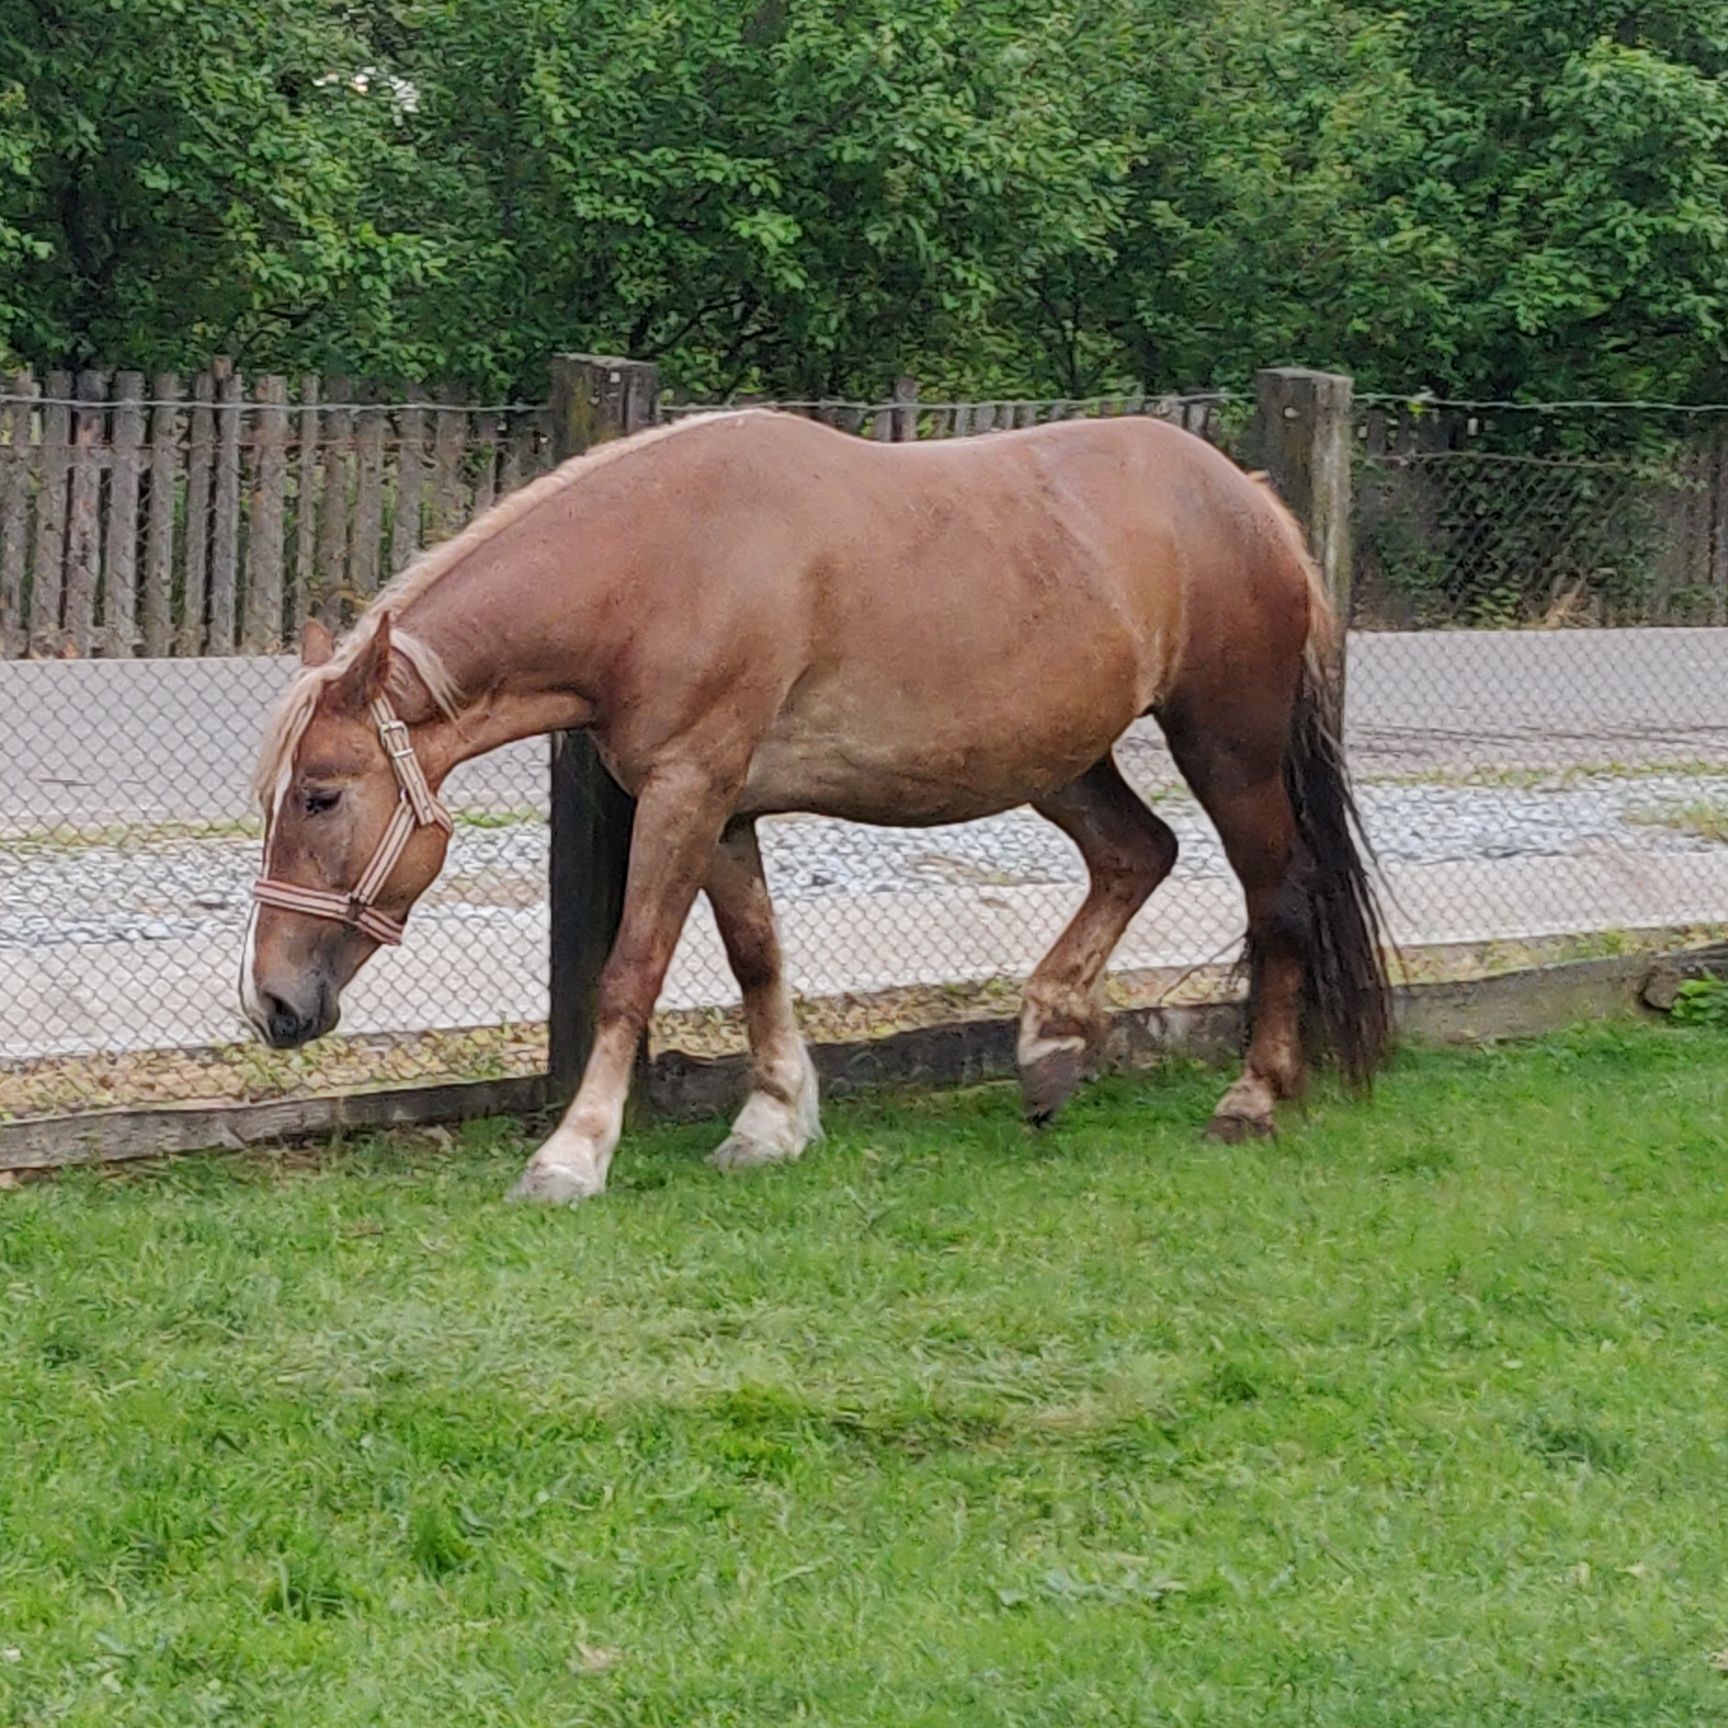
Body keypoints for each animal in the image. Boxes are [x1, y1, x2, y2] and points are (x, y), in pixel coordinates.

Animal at [243, 411, 1389, 1209]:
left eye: (322, 795)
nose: (273, 1004)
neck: (659, 565)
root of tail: (1253, 501)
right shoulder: (722, 808)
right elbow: (757, 956)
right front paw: (775, 1120)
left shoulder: (688, 789)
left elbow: (632, 970)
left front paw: (573, 1154)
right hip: (1061, 762)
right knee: (1136, 855)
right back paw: (1050, 1048)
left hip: (1227, 748)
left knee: (1277, 899)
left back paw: (1252, 1099)